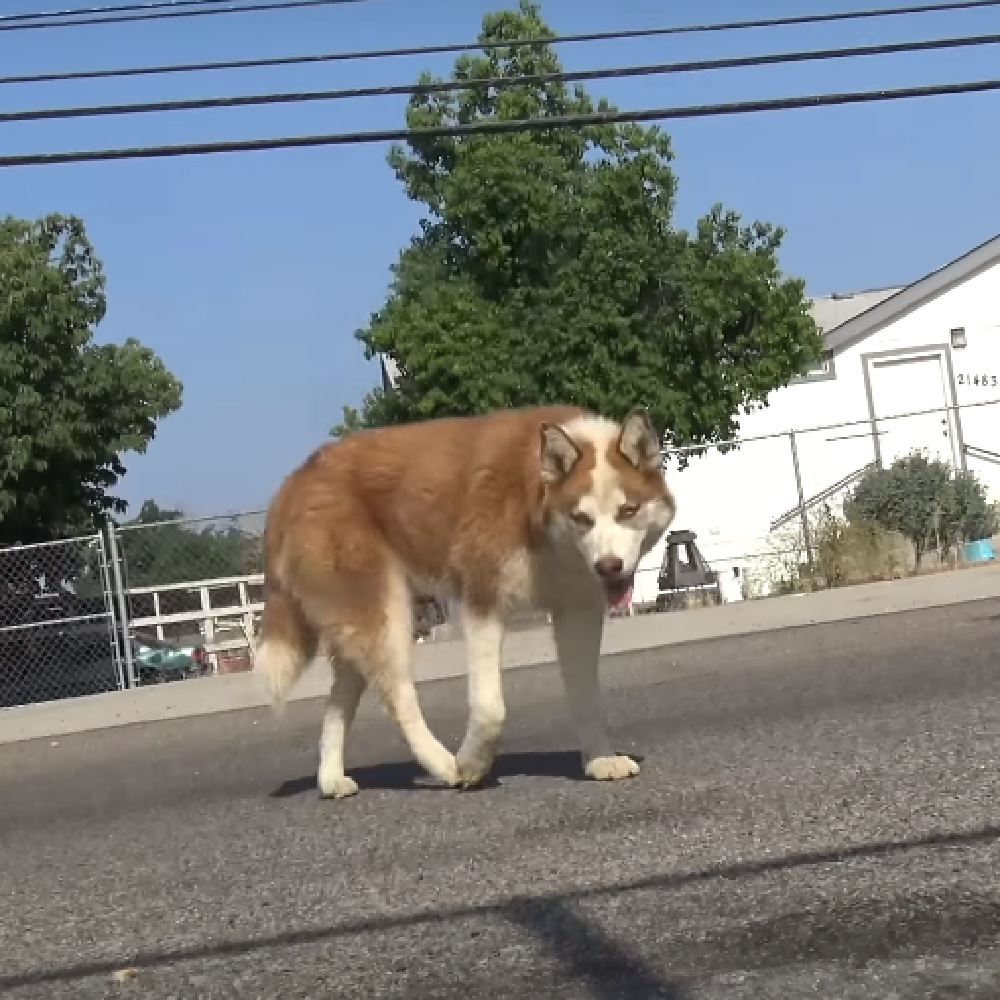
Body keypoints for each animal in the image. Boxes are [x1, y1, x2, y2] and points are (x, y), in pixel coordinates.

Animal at [254, 402, 676, 800]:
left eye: (628, 511)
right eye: (581, 518)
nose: (608, 566)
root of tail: (294, 480)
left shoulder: (578, 609)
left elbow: (586, 694)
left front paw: (601, 759)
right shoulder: (482, 602)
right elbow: (490, 707)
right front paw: (471, 764)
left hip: (358, 620)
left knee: (340, 701)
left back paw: (331, 779)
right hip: (386, 615)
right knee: (399, 698)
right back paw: (443, 765)